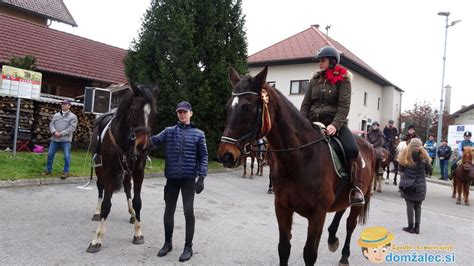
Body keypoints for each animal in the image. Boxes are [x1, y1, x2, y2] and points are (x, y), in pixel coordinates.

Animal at [86, 84, 156, 252]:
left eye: (154, 113)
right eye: (135, 109)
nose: (143, 146)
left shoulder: (138, 172)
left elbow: (137, 201)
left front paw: (138, 232)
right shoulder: (108, 171)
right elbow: (106, 204)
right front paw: (97, 239)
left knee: (127, 188)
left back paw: (132, 214)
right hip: (100, 170)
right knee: (100, 187)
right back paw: (97, 212)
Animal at [217, 66, 376, 264]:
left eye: (248, 107)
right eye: (227, 107)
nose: (225, 155)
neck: (300, 160)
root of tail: (368, 145)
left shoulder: (317, 216)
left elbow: (309, 254)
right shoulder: (282, 209)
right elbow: (284, 248)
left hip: (358, 202)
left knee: (350, 225)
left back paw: (344, 256)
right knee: (340, 211)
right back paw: (332, 238)